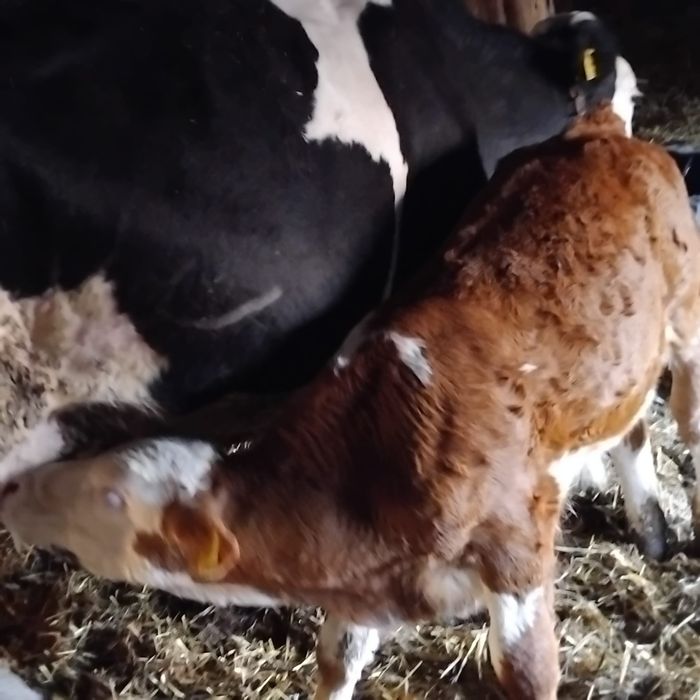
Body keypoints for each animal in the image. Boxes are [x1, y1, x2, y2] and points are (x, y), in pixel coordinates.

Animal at [3, 106, 698, 699]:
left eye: (111, 498)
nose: (14, 492)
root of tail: (598, 130)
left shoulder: (519, 563)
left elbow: (529, 673)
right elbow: (339, 659)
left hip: (685, 320)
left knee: (681, 414)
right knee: (632, 428)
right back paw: (654, 529)